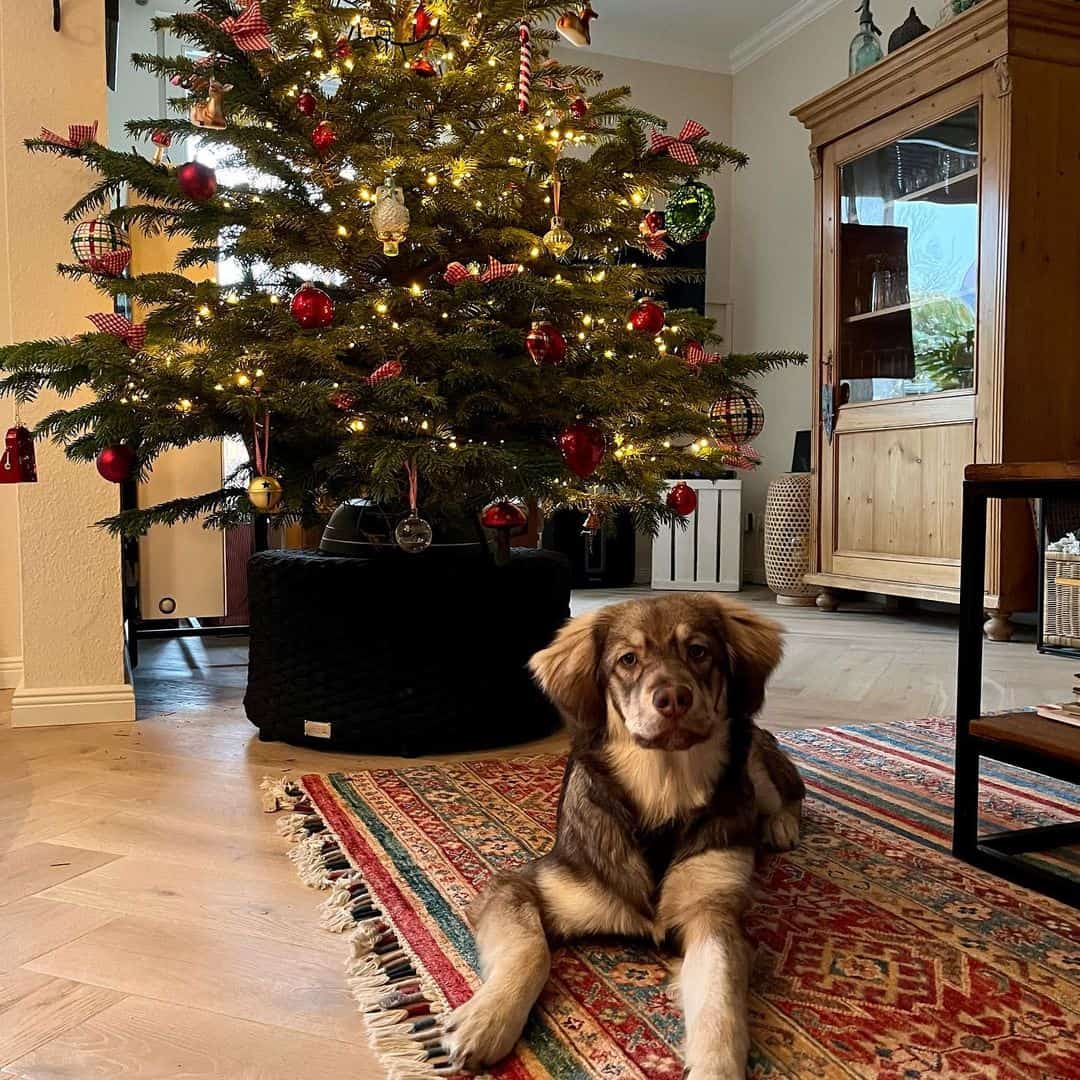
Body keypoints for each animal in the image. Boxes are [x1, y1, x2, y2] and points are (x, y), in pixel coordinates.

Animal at [442, 596, 807, 1075]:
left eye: (699, 651)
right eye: (628, 660)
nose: (673, 698)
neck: (663, 794)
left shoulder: (713, 910)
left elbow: (720, 997)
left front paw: (716, 1067)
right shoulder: (522, 884)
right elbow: (530, 948)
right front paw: (486, 1019)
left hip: (754, 768)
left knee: (792, 789)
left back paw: (781, 824)